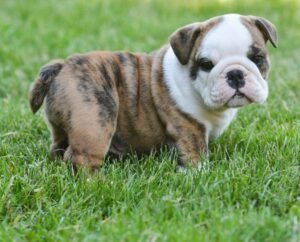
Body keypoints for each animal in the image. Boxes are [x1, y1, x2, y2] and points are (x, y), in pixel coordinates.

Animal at [29, 13, 276, 172]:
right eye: (206, 64)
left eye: (257, 59)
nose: (235, 74)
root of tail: (63, 65)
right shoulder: (189, 128)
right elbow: (195, 155)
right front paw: (198, 174)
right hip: (95, 120)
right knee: (82, 157)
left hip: (63, 126)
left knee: (59, 147)